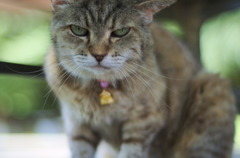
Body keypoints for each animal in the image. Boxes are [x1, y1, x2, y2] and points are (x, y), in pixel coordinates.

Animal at [44, 0, 236, 158]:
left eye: (121, 32)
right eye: (78, 30)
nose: (98, 55)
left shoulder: (143, 124)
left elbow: (131, 152)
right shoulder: (77, 126)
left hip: (212, 90)